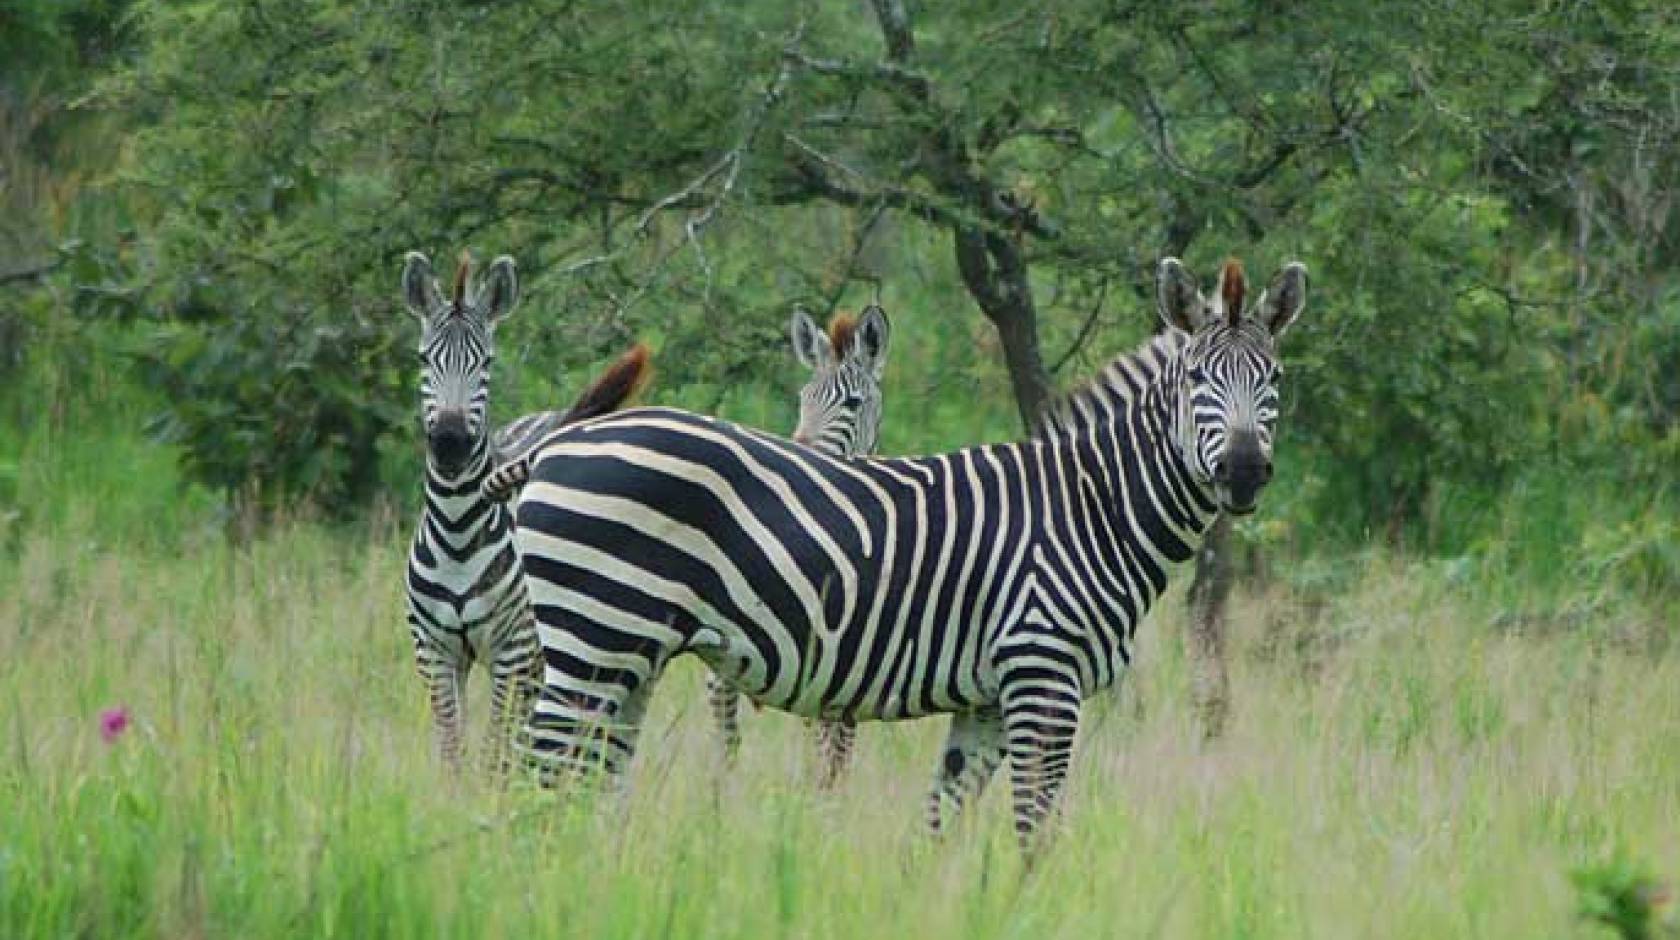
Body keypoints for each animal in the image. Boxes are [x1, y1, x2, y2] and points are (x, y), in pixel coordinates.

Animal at [401, 249, 649, 772]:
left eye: (487, 362)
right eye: (423, 359)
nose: (450, 443)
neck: (456, 531)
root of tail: (556, 419)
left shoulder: (510, 652)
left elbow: (494, 751)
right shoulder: (434, 652)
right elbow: (452, 750)